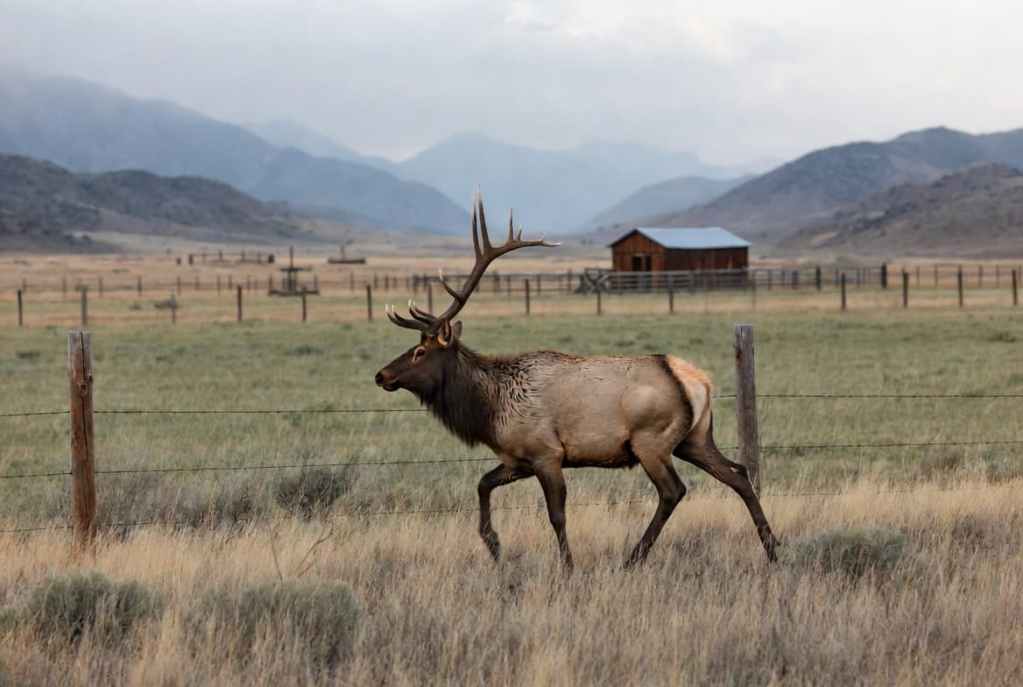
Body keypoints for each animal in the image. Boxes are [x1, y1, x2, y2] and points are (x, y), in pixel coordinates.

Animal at [375, 195, 779, 570]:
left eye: (419, 352)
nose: (382, 375)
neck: (489, 411)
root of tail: (698, 381)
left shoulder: (547, 453)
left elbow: (556, 515)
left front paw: (568, 567)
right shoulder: (517, 458)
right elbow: (483, 483)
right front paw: (493, 544)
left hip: (652, 440)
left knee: (673, 491)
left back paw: (634, 557)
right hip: (694, 439)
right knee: (739, 474)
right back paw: (772, 549)